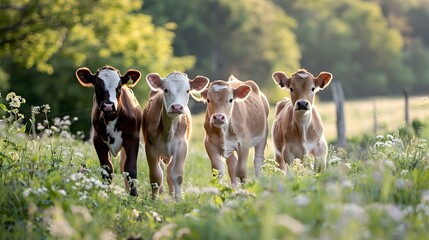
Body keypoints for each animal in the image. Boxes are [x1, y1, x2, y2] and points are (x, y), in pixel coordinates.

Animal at [76, 66, 143, 197]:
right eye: (97, 86)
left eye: (119, 86)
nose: (108, 105)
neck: (111, 117)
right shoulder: (98, 140)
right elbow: (107, 169)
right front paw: (105, 191)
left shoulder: (133, 138)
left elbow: (130, 168)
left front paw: (134, 195)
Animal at [142, 72, 209, 200]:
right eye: (166, 90)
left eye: (187, 91)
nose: (177, 107)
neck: (169, 130)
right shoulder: (150, 146)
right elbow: (156, 175)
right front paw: (154, 199)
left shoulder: (181, 146)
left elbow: (177, 175)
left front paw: (179, 199)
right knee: (162, 169)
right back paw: (162, 192)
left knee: (169, 170)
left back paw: (172, 193)